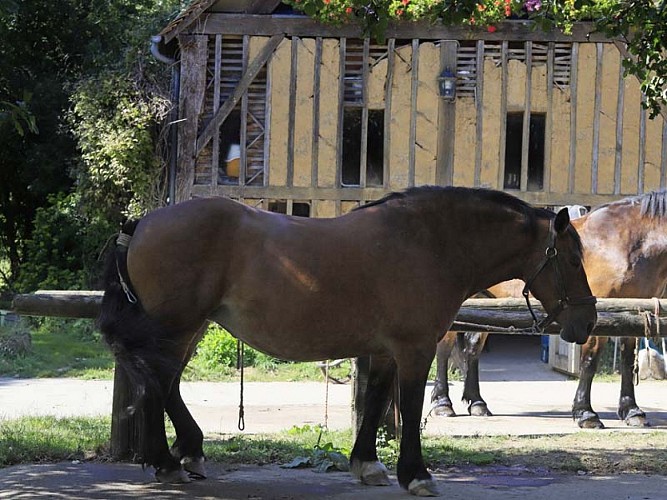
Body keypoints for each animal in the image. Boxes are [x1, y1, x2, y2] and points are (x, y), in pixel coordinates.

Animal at [96, 186, 596, 494]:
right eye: (573, 259)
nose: (588, 321)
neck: (428, 244)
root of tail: (142, 224)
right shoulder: (414, 349)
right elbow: (409, 408)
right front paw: (416, 474)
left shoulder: (385, 351)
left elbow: (375, 403)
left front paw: (367, 464)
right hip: (178, 327)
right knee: (156, 383)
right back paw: (167, 462)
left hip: (191, 328)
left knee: (165, 385)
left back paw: (187, 451)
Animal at [430, 191, 667, 430]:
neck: (625, 243)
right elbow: (590, 360)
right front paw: (586, 413)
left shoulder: (634, 313)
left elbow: (627, 361)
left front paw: (632, 411)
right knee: (444, 348)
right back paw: (443, 403)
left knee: (472, 347)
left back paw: (477, 403)